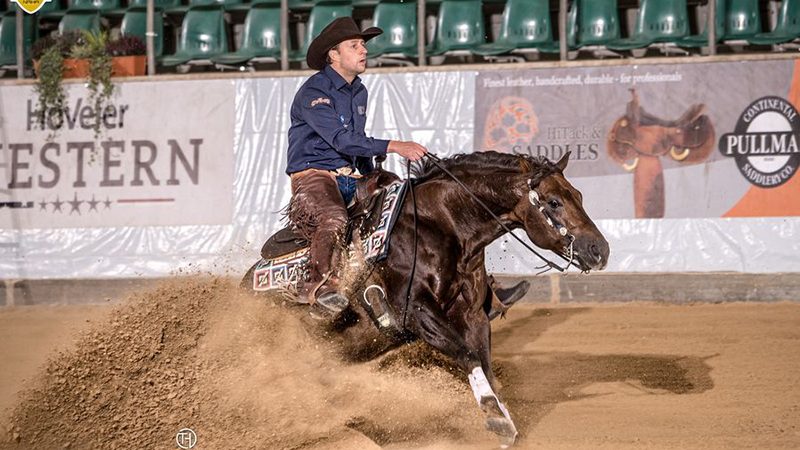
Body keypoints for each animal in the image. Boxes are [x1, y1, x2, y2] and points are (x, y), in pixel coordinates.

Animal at [244, 150, 608, 442]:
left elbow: (483, 361)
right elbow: (466, 354)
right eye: (553, 202)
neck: (442, 225)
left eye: (578, 195)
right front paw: (495, 416)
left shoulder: (473, 316)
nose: (600, 250)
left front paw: (502, 415)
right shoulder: (415, 312)